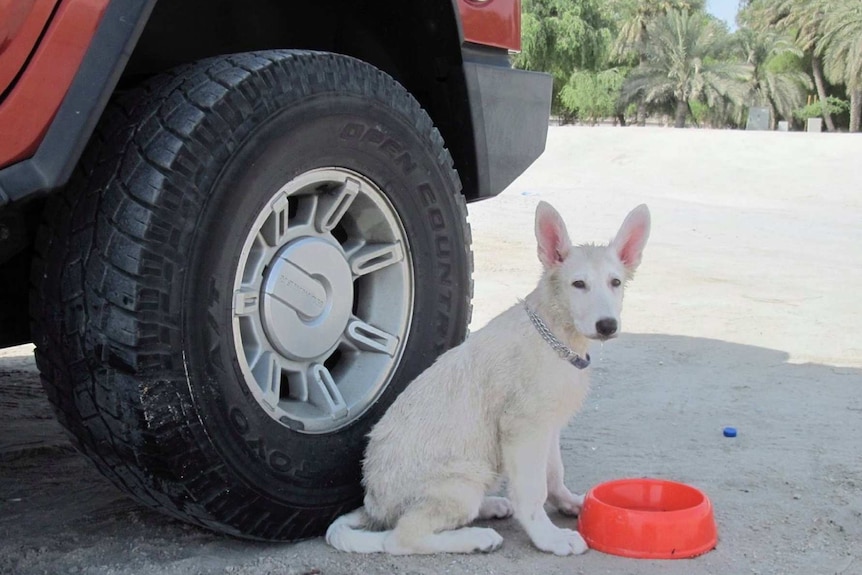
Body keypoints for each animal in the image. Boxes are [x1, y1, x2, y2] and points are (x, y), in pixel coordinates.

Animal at [328, 204, 652, 560]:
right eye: (578, 284)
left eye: (615, 282)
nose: (607, 325)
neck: (556, 336)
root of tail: (372, 504)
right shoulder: (523, 429)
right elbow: (532, 492)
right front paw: (548, 537)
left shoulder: (548, 427)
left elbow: (554, 474)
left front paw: (569, 503)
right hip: (464, 478)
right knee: (400, 539)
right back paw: (476, 537)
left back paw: (491, 506)